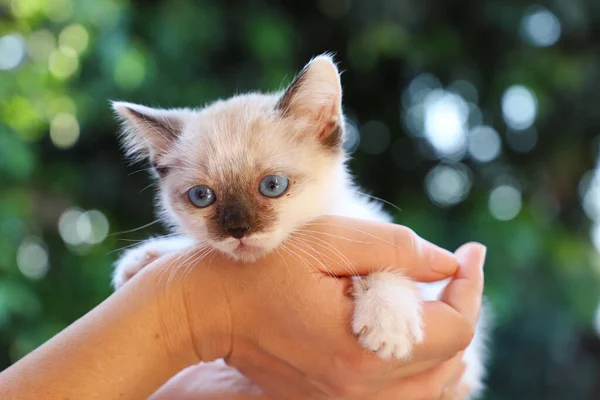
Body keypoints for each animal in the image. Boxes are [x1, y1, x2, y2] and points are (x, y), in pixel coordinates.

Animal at [111, 54, 488, 396]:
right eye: (201, 196)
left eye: (273, 186)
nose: (238, 230)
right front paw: (143, 258)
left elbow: (388, 266)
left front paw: (388, 321)